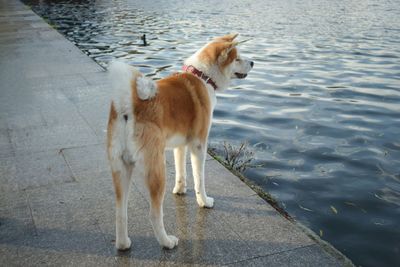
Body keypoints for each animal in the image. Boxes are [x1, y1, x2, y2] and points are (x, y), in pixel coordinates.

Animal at [106, 33, 253, 251]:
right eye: (237, 58)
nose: (253, 62)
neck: (202, 76)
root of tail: (130, 105)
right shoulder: (199, 145)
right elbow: (199, 179)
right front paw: (204, 201)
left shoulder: (180, 144)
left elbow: (181, 171)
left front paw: (180, 190)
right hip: (156, 170)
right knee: (154, 214)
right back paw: (167, 242)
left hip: (121, 168)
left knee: (120, 212)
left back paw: (123, 244)